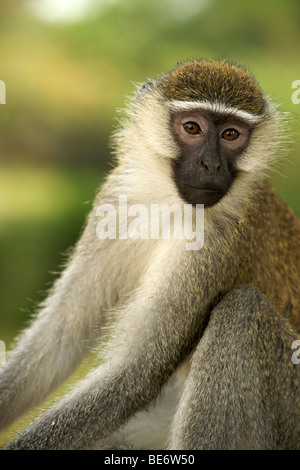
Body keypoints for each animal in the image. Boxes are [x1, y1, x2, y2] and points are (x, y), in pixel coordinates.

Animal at [0, 60, 300, 450]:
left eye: (231, 135)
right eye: (192, 128)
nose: (212, 165)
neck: (168, 202)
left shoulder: (215, 242)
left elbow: (135, 373)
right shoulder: (114, 199)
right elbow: (58, 339)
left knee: (242, 311)